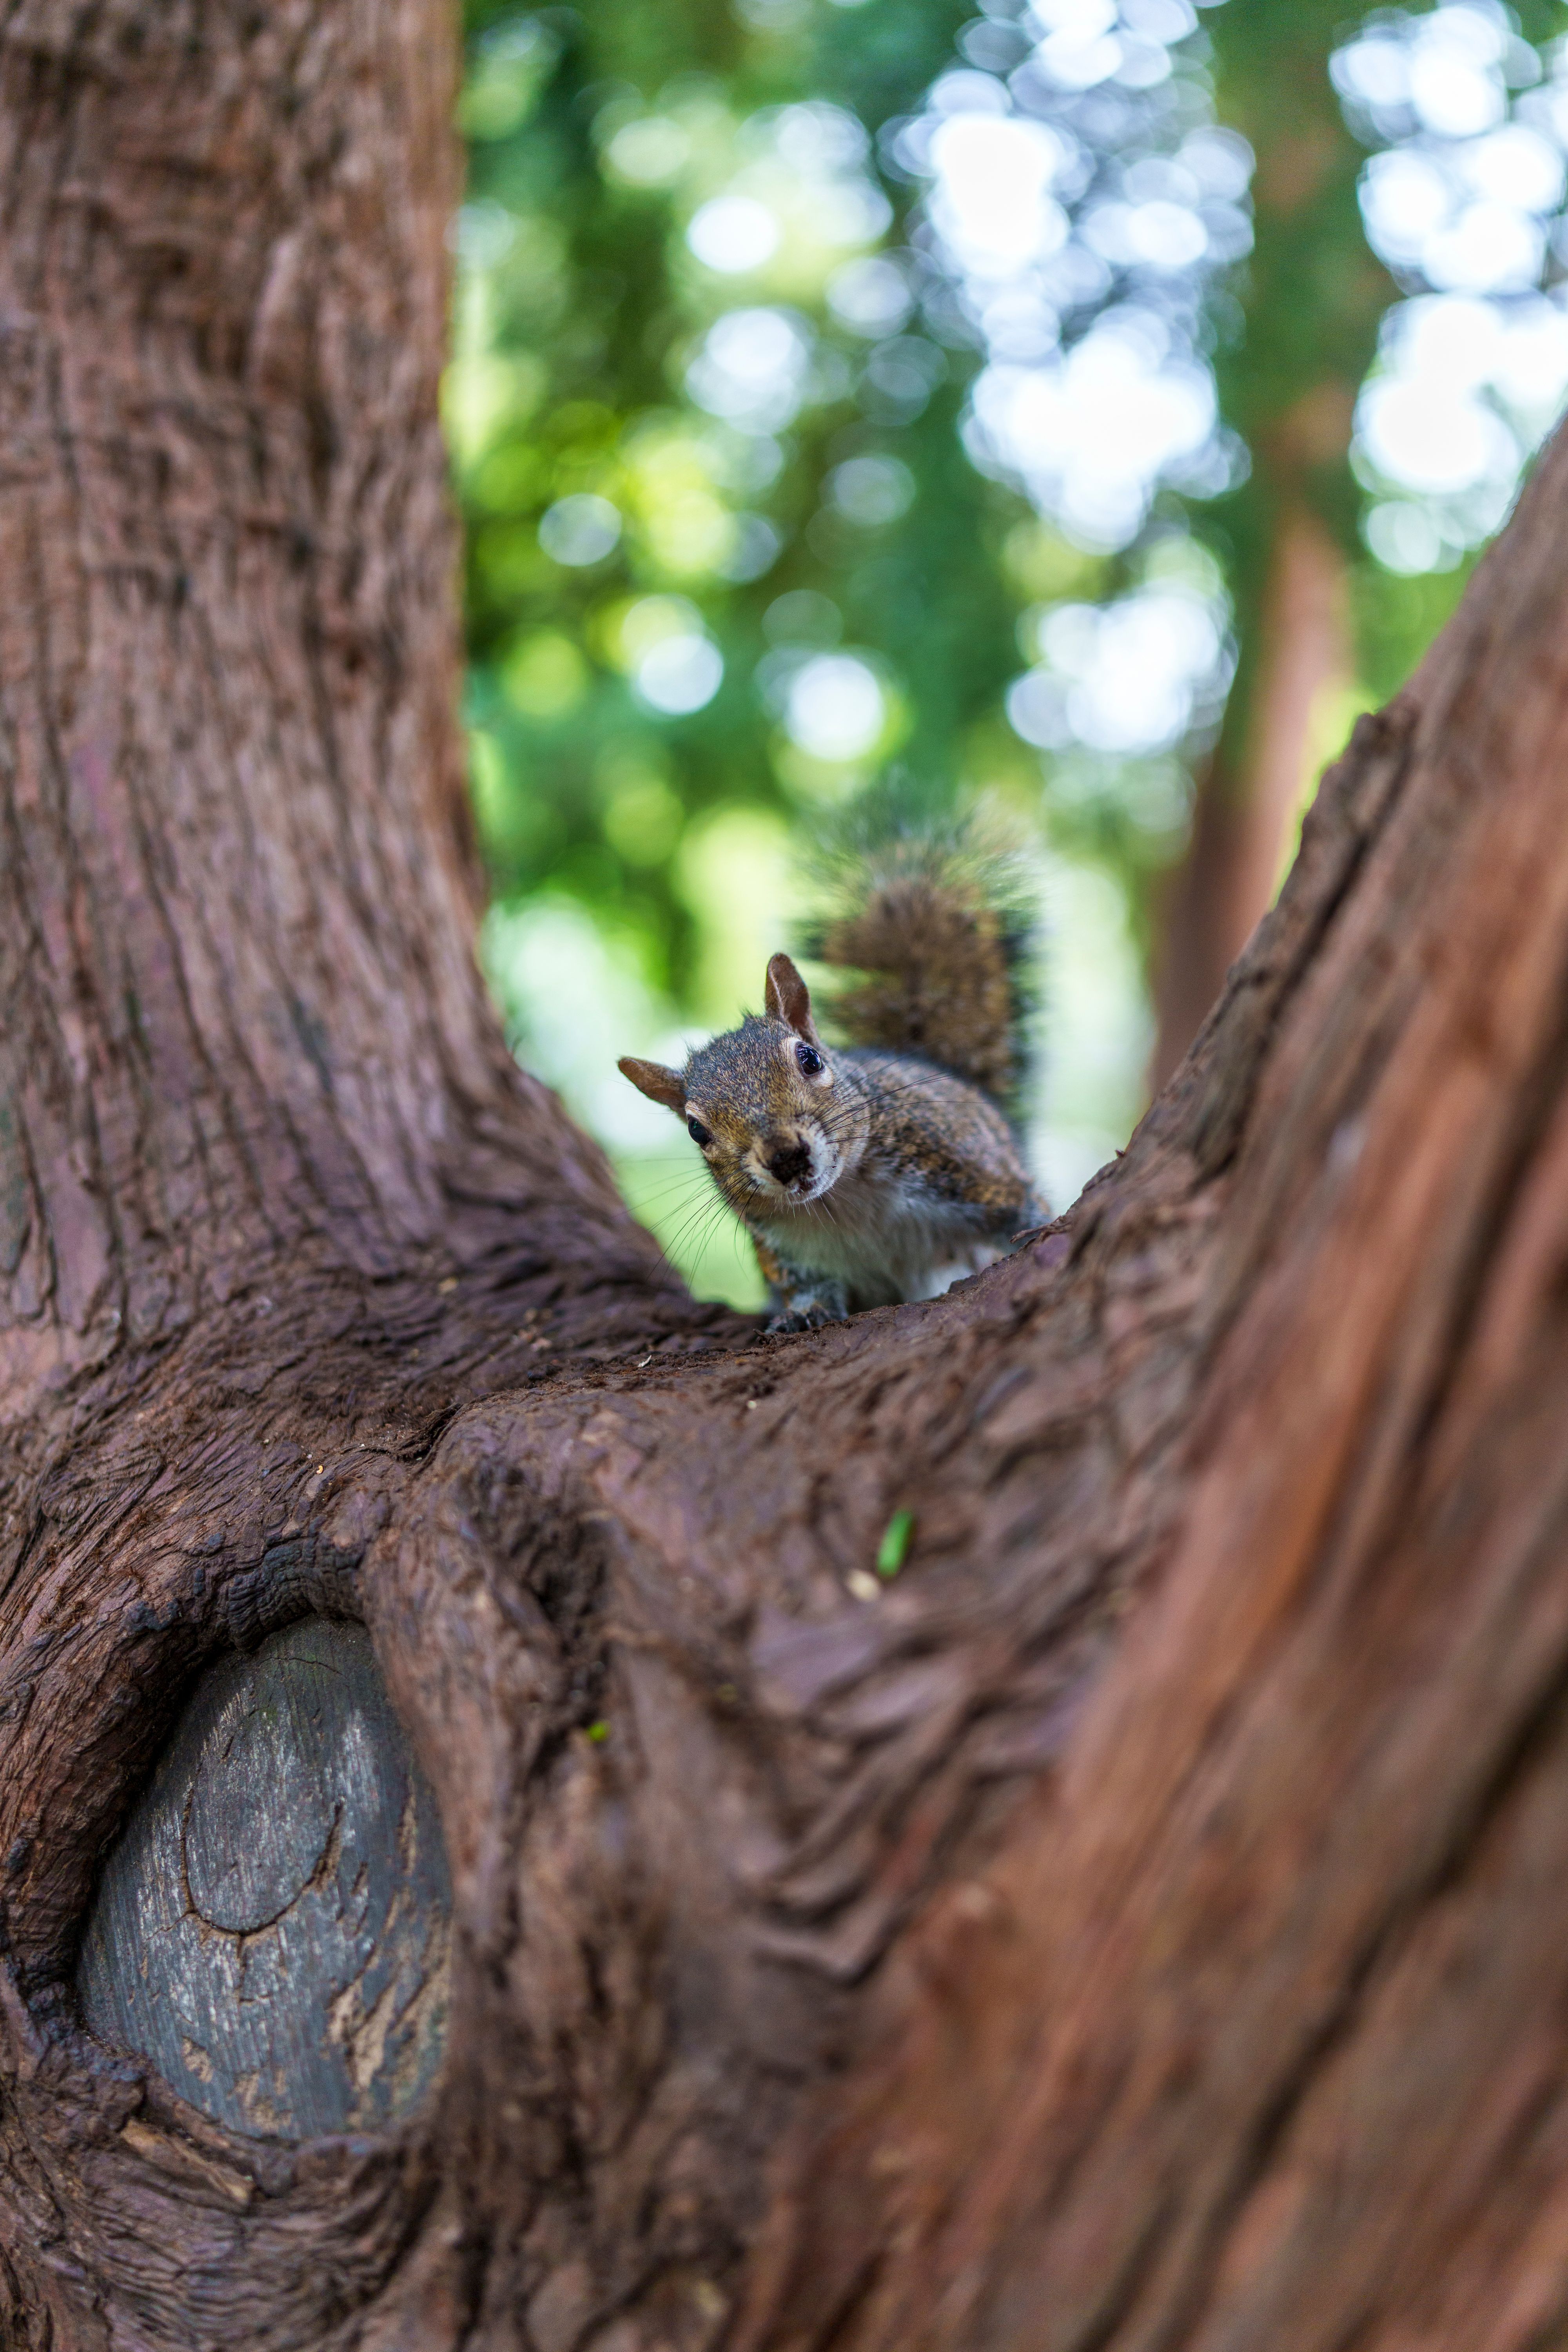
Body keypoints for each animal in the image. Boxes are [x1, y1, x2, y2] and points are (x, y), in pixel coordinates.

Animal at [618, 828, 1048, 1334]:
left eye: (810, 1059)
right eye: (696, 1130)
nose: (785, 1156)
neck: (840, 1198)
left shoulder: (960, 1165)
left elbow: (1018, 1203)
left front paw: (1036, 1227)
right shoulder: (785, 1253)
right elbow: (809, 1287)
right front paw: (806, 1313)